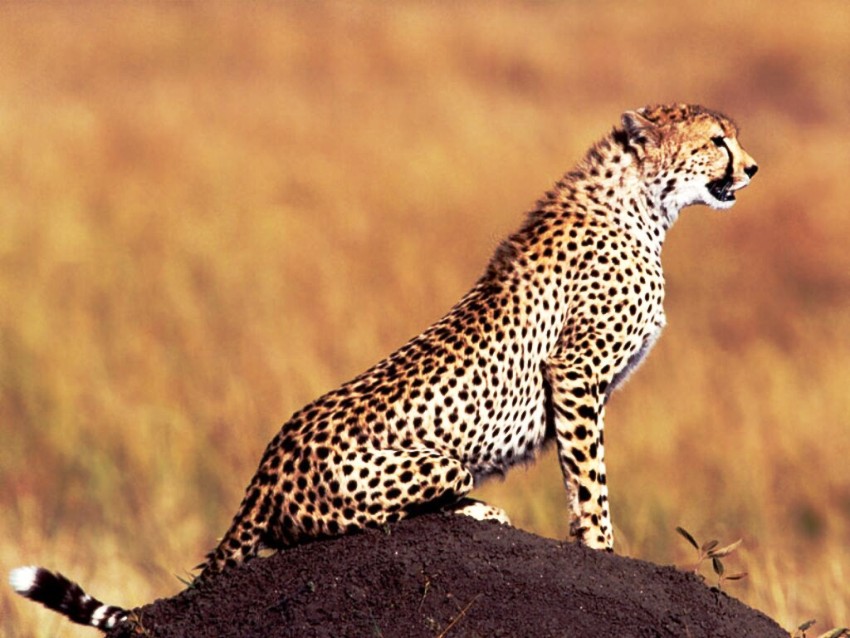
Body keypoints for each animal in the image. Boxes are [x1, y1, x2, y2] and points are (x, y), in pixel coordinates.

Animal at [10, 103, 757, 631]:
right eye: (716, 140)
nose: (751, 169)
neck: (643, 204)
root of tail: (265, 467)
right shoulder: (573, 372)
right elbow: (590, 478)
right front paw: (604, 551)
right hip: (428, 465)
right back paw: (478, 510)